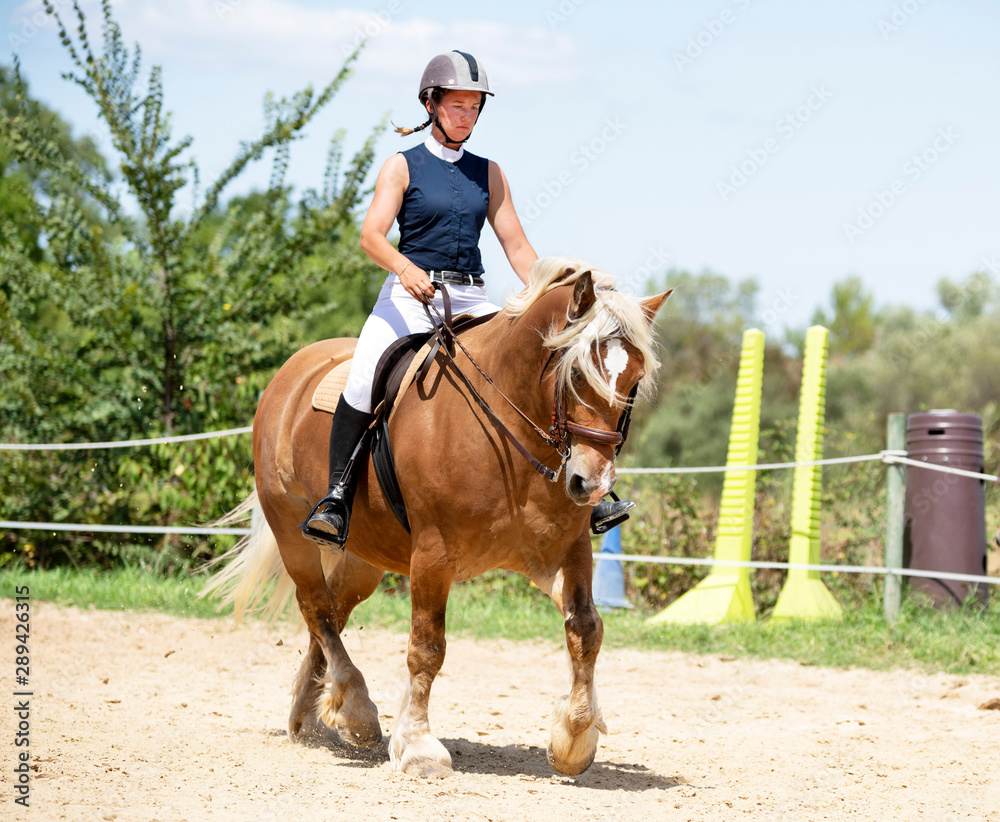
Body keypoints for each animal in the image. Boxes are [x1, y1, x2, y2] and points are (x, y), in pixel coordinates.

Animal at [201, 256, 672, 780]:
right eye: (575, 376)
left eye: (632, 383)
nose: (591, 484)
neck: (508, 433)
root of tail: (290, 372)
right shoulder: (433, 553)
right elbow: (427, 647)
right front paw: (419, 745)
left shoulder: (565, 550)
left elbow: (586, 629)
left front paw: (574, 738)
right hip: (292, 531)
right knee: (316, 607)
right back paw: (357, 709)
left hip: (366, 556)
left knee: (333, 611)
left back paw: (313, 710)